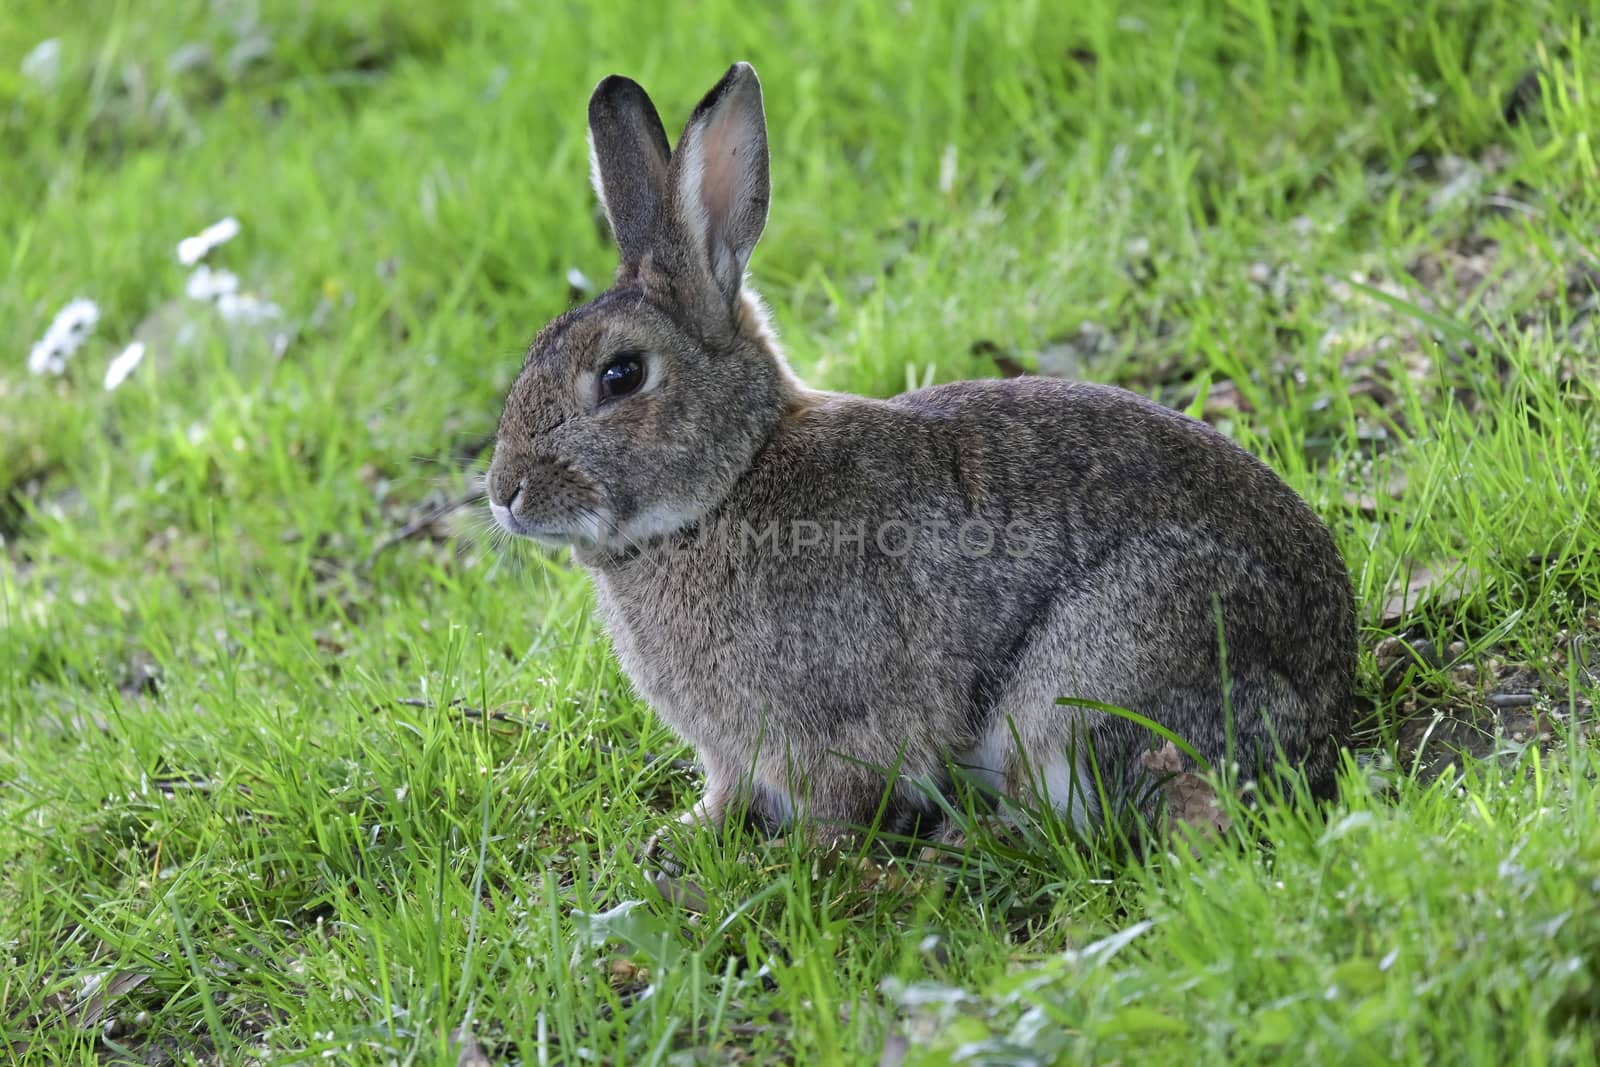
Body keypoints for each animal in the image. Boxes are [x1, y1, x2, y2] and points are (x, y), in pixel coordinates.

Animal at [483, 64, 1350, 851]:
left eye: (622, 374)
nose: (503, 492)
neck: (730, 482)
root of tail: (1325, 696)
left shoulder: (834, 730)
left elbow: (842, 803)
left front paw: (801, 858)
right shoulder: (735, 752)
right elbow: (728, 792)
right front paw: (685, 833)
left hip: (1094, 675)